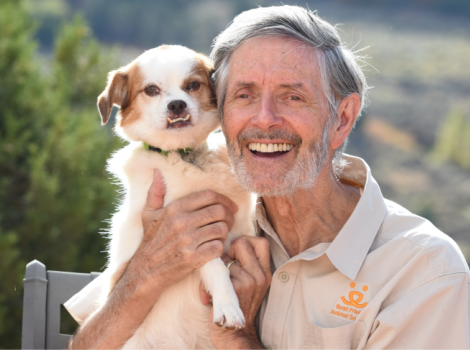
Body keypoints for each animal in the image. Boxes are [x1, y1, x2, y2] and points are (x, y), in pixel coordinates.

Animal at [97, 45, 255, 348]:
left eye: (193, 85)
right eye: (151, 90)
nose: (177, 105)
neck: (185, 156)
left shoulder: (242, 225)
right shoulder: (192, 232)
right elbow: (216, 266)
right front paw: (228, 305)